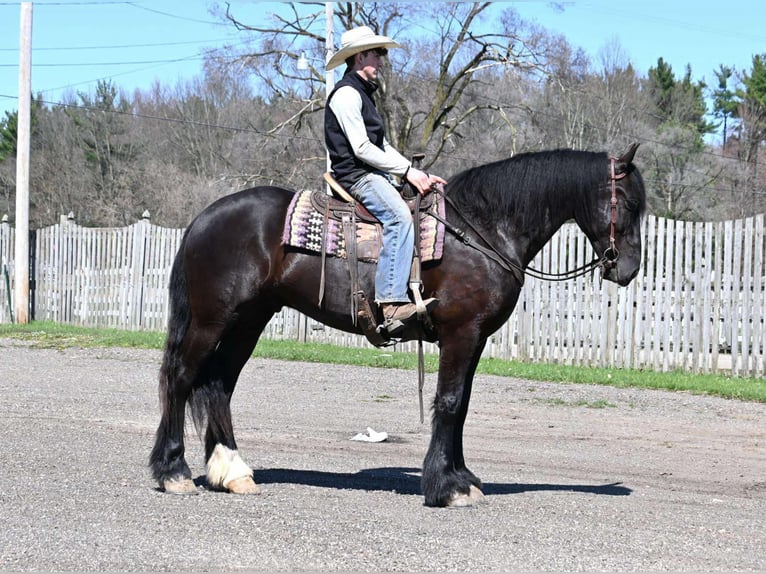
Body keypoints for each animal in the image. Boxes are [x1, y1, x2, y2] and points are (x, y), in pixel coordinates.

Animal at [149, 143, 646, 507]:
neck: (482, 230)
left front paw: (460, 477)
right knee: (181, 377)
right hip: (213, 319)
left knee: (218, 384)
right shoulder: (461, 334)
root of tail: (204, 218)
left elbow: (460, 405)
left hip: (249, 320)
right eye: (626, 201)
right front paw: (447, 487)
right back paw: (174, 472)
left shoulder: (474, 340)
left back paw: (232, 472)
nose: (627, 270)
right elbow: (449, 403)